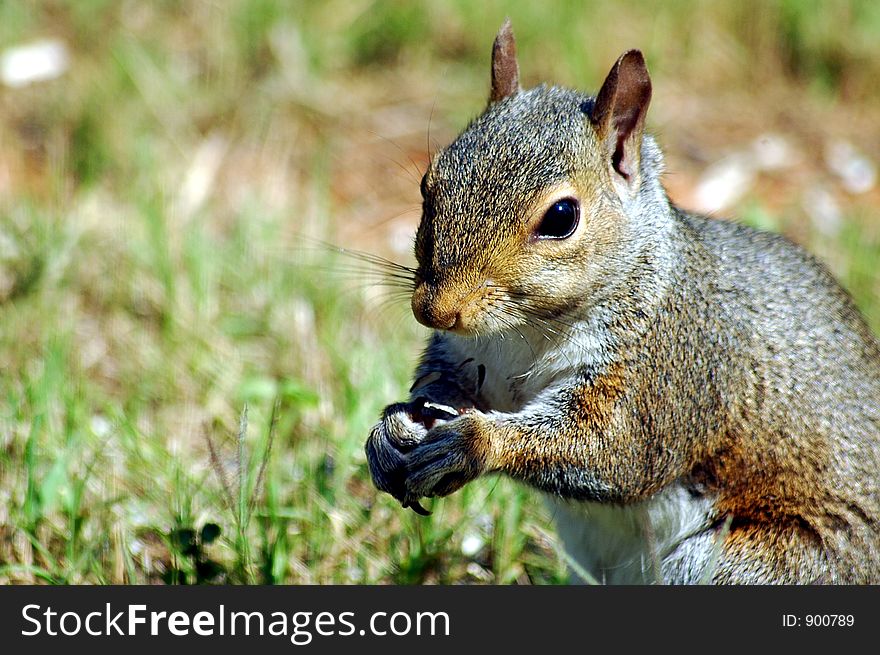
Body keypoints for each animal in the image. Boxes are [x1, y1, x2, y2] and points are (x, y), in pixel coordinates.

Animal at [362, 19, 880, 584]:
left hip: (752, 564)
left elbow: (614, 447)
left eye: (561, 216)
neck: (525, 331)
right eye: (427, 184)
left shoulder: (666, 368)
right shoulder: (465, 355)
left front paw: (473, 442)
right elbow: (442, 387)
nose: (434, 310)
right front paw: (392, 430)